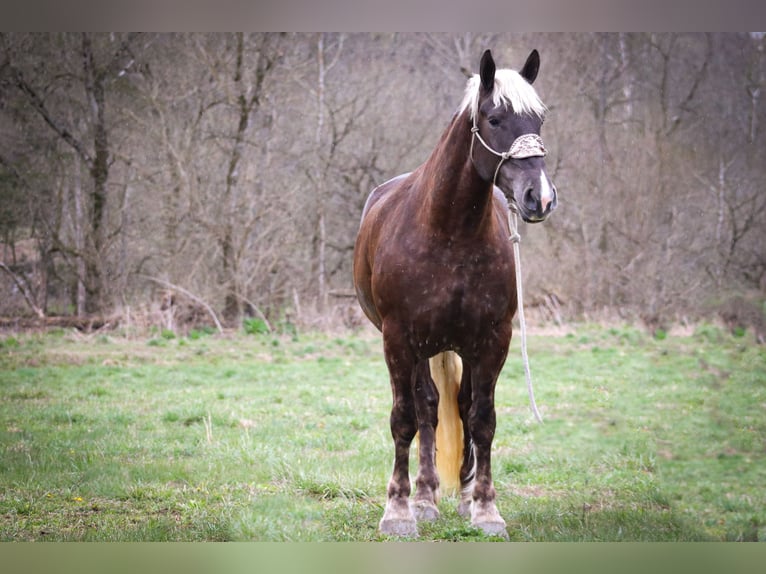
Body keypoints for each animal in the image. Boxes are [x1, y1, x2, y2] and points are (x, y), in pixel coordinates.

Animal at [354, 49, 560, 540]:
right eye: (494, 118)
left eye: (539, 119)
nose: (539, 198)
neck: (449, 232)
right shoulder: (399, 340)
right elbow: (405, 418)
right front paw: (399, 510)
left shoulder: (492, 341)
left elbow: (482, 419)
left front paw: (485, 508)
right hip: (419, 348)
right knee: (427, 408)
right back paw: (425, 497)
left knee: (461, 407)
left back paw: (459, 496)